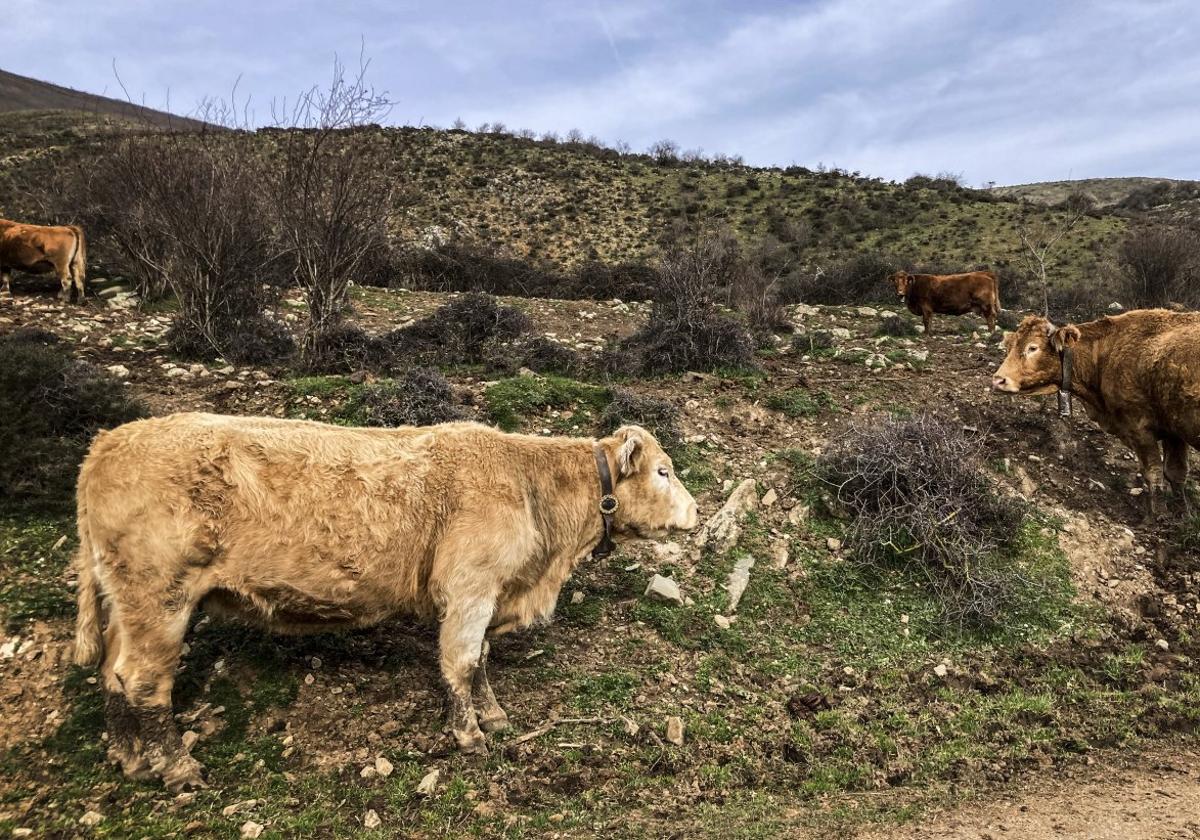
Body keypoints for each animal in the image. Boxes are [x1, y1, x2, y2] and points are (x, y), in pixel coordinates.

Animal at [72, 417, 696, 792]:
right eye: (663, 471)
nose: (696, 511)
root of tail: (106, 443)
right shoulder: (470, 590)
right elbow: (461, 663)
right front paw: (470, 736)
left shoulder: (489, 595)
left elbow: (481, 660)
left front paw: (494, 716)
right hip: (160, 598)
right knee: (144, 682)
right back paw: (178, 768)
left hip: (128, 603)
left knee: (112, 673)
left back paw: (130, 758)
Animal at [988, 309, 1200, 518]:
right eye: (1010, 346)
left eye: (1033, 348)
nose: (998, 379)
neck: (1106, 352)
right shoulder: (1173, 431)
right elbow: (1175, 472)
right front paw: (1184, 514)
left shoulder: (1138, 427)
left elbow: (1154, 473)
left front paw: (1159, 515)